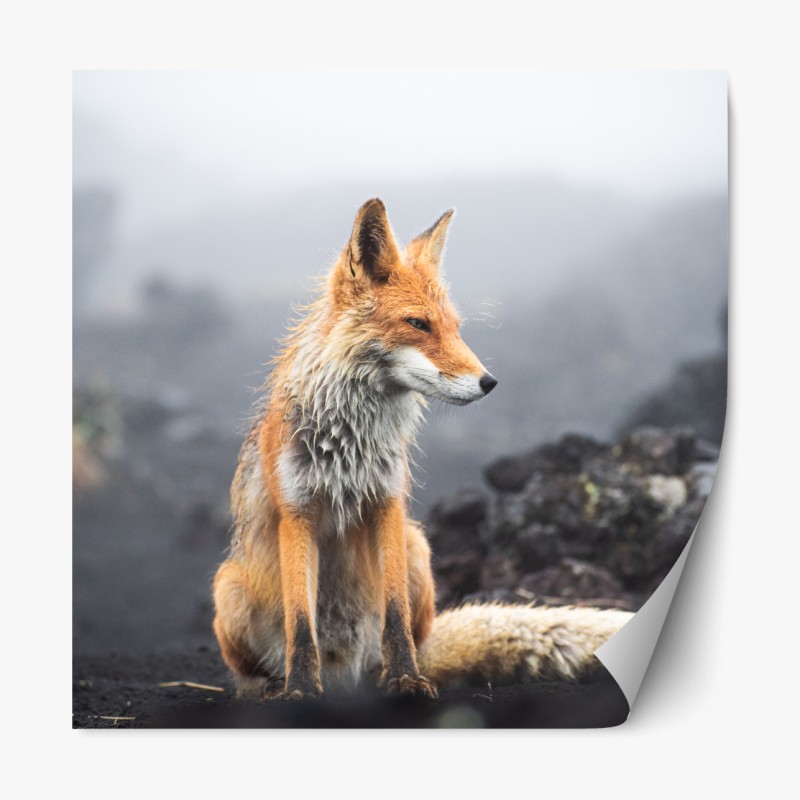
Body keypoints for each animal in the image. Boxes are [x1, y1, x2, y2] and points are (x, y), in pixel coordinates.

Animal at [212, 198, 632, 700]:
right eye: (417, 323)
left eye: (455, 328)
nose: (489, 382)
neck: (350, 445)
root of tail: (344, 674)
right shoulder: (297, 515)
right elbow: (300, 622)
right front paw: (300, 691)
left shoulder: (387, 504)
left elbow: (394, 616)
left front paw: (407, 679)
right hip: (228, 587)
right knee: (252, 668)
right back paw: (269, 687)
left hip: (418, 547)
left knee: (408, 638)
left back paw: (385, 677)